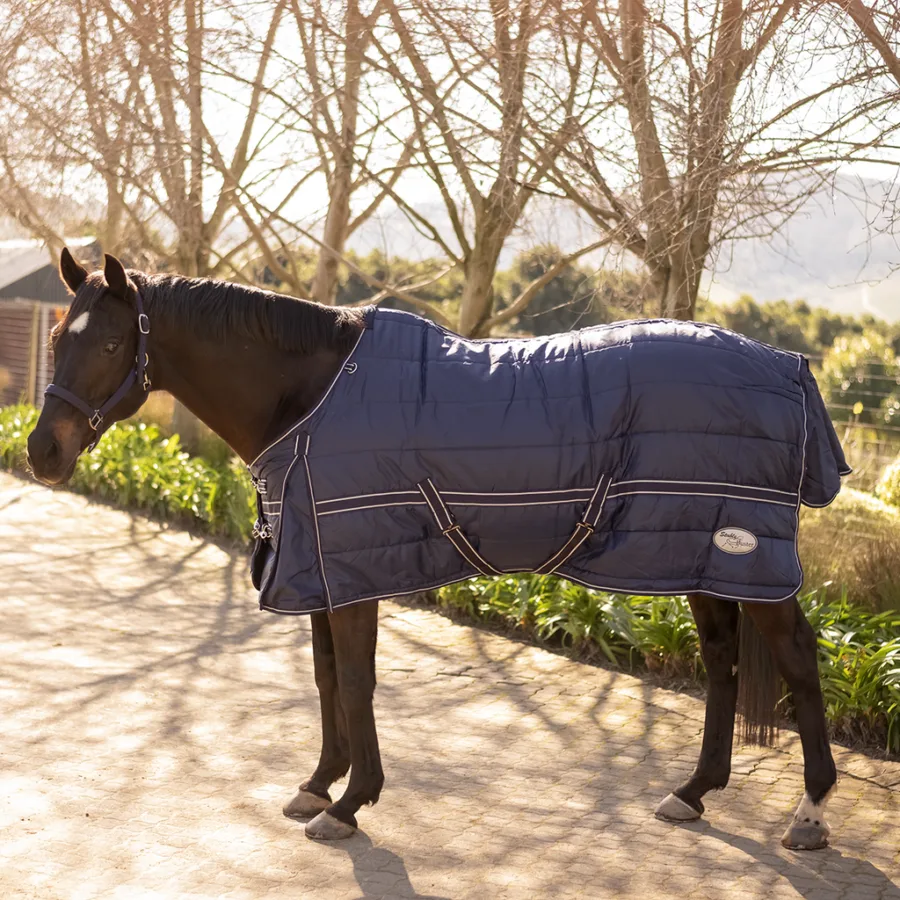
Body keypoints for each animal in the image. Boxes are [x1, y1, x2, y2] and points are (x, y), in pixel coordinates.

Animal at [26, 249, 841, 850]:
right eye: (58, 336)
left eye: (109, 342)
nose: (43, 452)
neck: (311, 395)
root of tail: (788, 365)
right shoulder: (320, 569)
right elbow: (326, 679)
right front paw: (318, 784)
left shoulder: (352, 572)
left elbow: (356, 683)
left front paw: (350, 804)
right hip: (699, 557)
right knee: (722, 663)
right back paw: (692, 792)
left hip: (747, 560)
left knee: (798, 660)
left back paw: (809, 814)